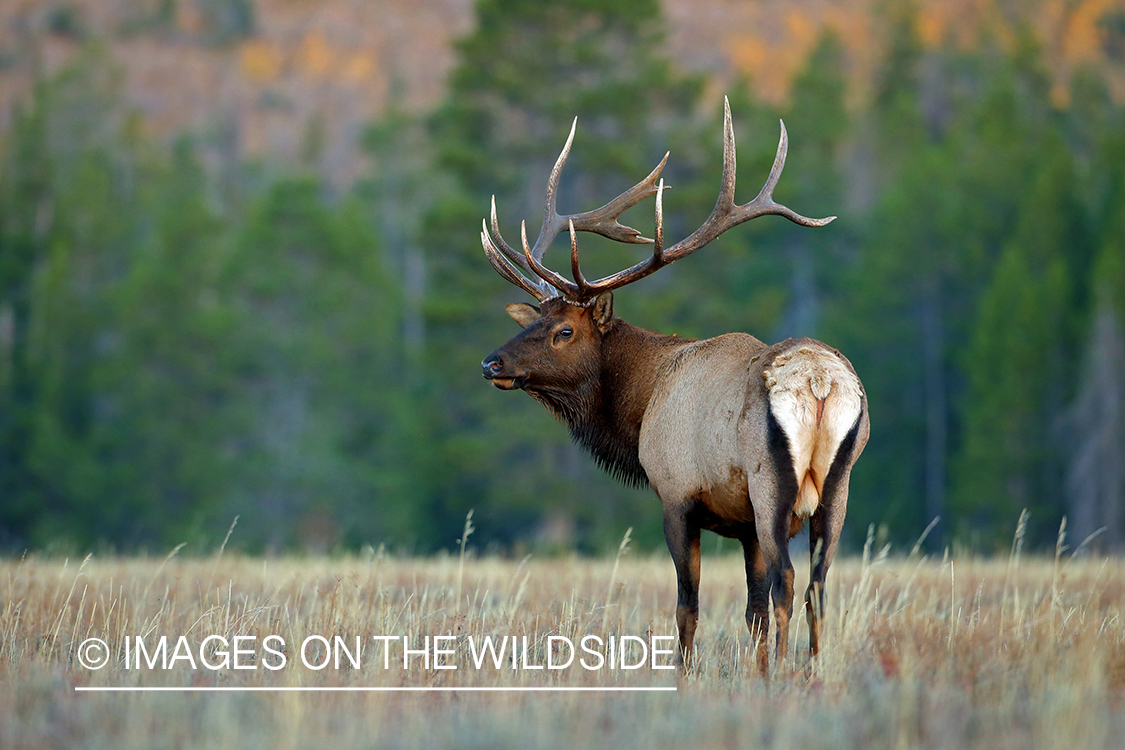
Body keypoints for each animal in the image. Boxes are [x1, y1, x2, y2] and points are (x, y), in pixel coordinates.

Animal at [474, 101, 868, 674]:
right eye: (536, 319)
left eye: (563, 330)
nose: (491, 362)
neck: (640, 403)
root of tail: (819, 383)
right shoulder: (743, 524)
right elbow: (749, 611)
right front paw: (751, 671)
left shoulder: (678, 497)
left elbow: (689, 606)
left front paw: (686, 674)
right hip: (838, 487)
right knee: (817, 585)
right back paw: (812, 672)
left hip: (771, 484)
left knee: (789, 582)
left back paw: (784, 673)